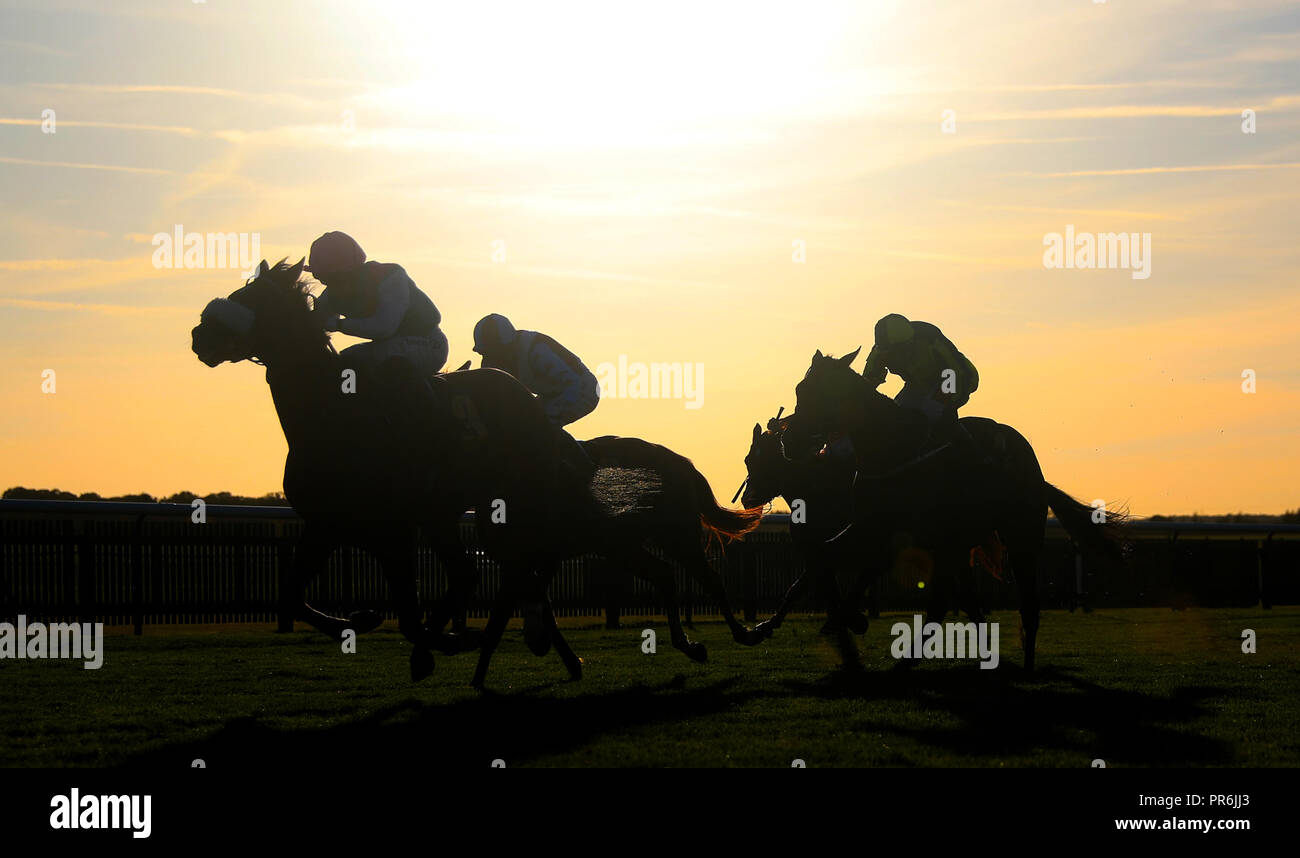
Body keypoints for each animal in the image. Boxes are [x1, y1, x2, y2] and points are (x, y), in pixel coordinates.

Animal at [780, 348, 1128, 670]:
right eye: (800, 389)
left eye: (821, 394)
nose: (788, 440)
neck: (891, 446)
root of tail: (1034, 469)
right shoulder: (869, 526)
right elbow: (825, 552)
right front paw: (832, 612)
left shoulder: (898, 535)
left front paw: (849, 618)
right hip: (959, 542)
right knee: (957, 600)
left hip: (1021, 536)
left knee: (1023, 602)